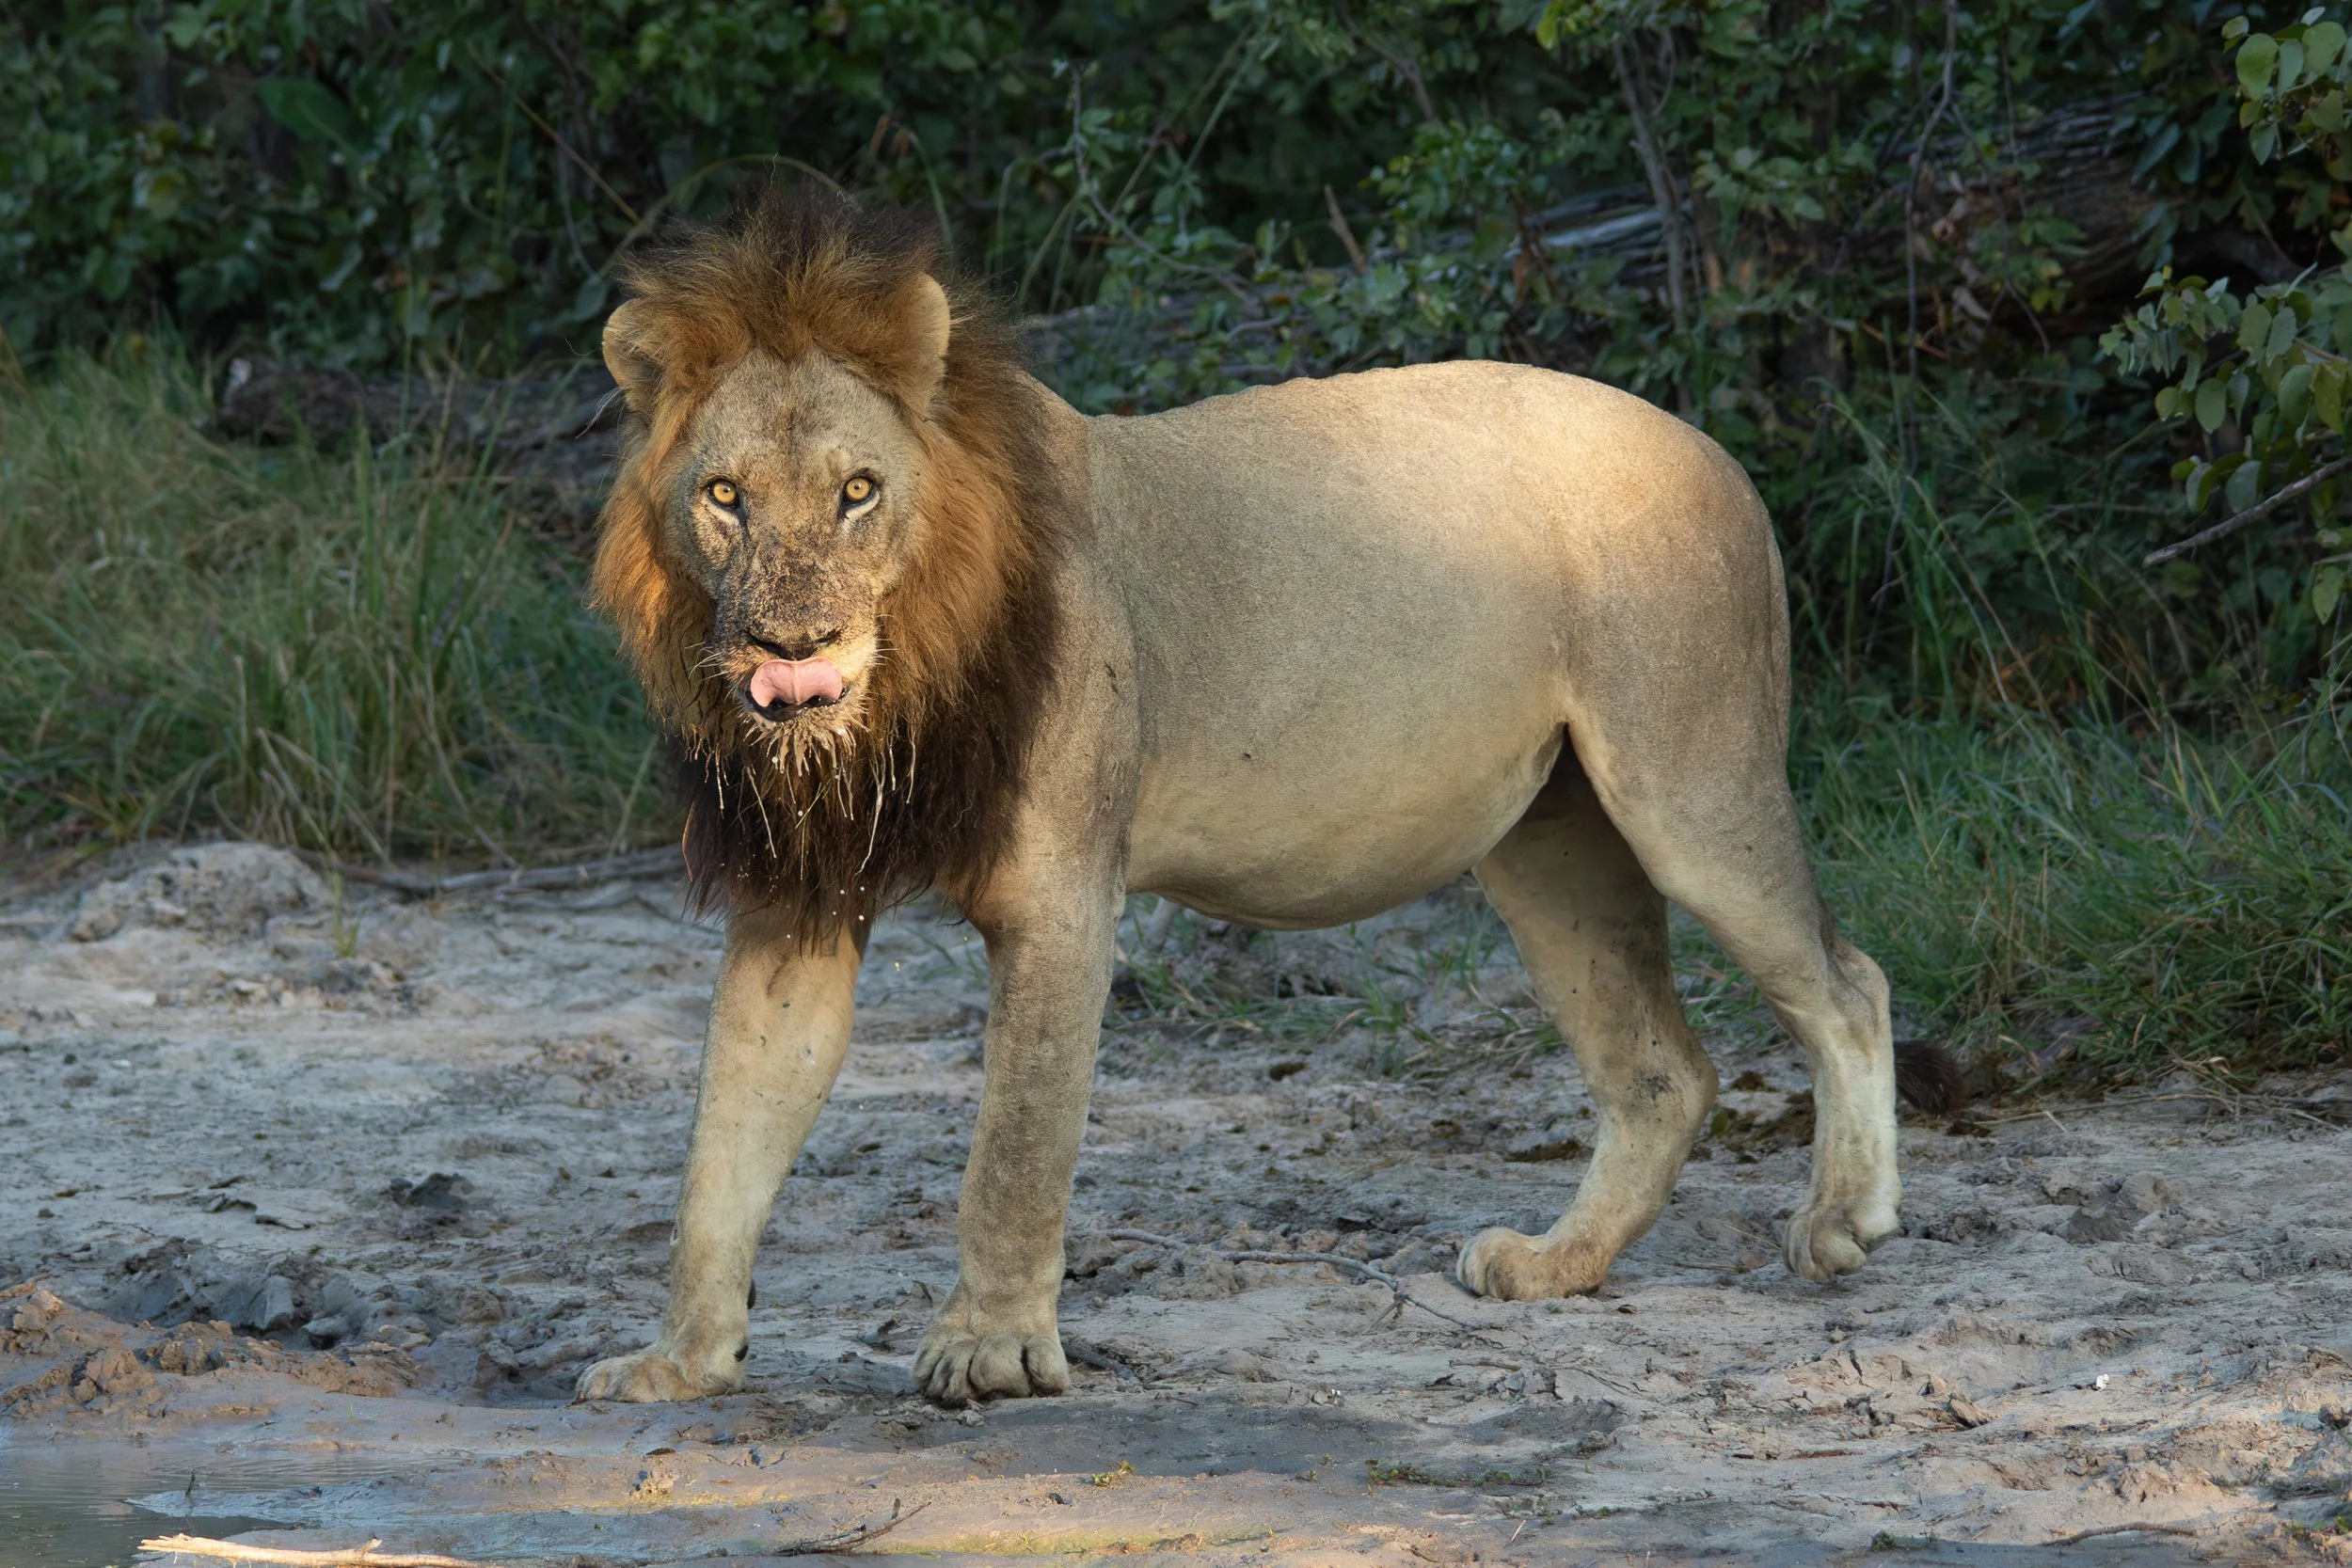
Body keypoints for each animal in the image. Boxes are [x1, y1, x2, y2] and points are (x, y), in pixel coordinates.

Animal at [573, 186, 1942, 1408]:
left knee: (1848, 979)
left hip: (1688, 781)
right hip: (1549, 846)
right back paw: (1554, 1263)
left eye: (857, 489)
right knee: (1665, 1071)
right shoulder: (796, 905)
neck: (890, 701)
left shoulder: (1062, 891)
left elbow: (1012, 1147)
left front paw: (991, 1351)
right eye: (725, 496)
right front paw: (679, 1359)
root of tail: (1715, 450)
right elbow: (721, 1145)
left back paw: (1840, 1219)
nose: (792, 646)